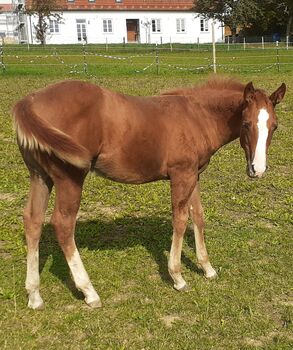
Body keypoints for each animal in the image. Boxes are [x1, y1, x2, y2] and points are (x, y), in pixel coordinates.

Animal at [12, 78, 284, 308]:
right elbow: (180, 220)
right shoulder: (181, 174)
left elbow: (198, 216)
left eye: (275, 126)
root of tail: (29, 101)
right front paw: (177, 277)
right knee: (63, 224)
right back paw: (89, 291)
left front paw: (207, 268)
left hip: (40, 176)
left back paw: (34, 295)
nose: (257, 169)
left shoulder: (193, 175)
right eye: (246, 124)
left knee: (33, 221)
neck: (197, 117)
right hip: (70, 178)